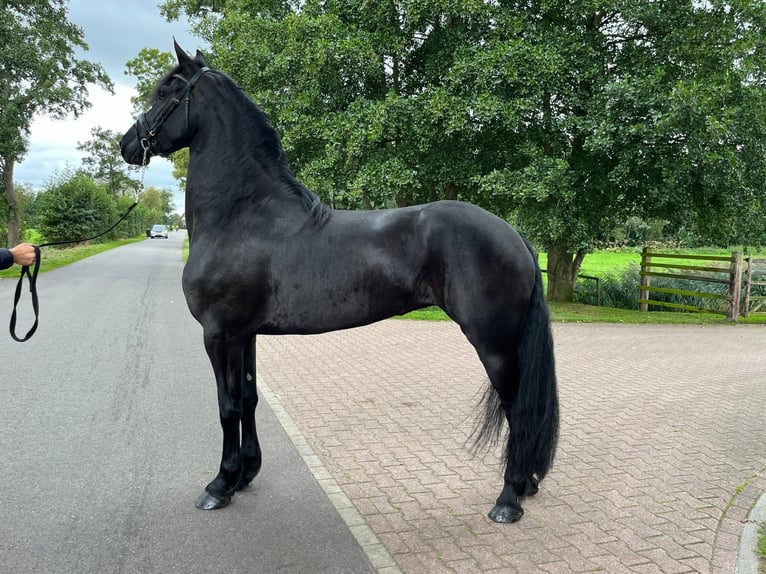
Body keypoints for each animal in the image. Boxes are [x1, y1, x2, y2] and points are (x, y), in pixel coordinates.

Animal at [120, 42, 559, 524]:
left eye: (166, 92)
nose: (127, 144)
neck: (243, 217)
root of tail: (514, 234)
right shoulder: (244, 335)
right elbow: (249, 400)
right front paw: (246, 474)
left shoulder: (218, 334)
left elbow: (226, 406)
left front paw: (220, 484)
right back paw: (528, 484)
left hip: (494, 344)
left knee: (518, 407)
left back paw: (509, 498)